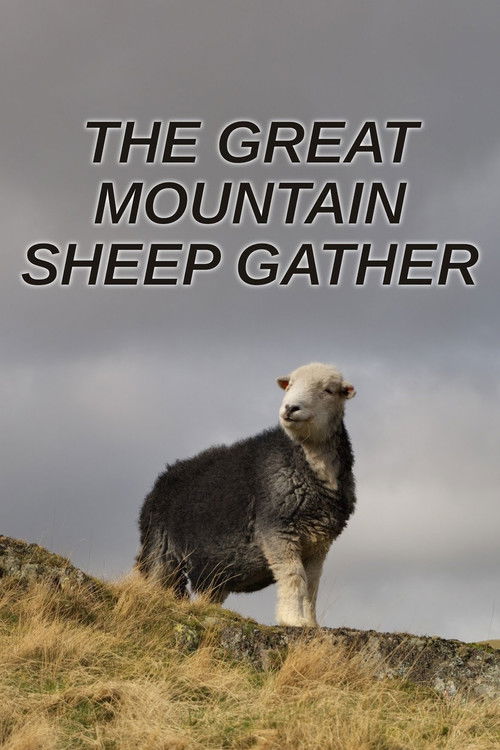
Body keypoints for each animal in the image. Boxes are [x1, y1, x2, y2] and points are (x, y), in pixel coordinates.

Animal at [136, 362, 356, 627]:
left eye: (328, 390)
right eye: (290, 385)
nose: (290, 408)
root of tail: (163, 477)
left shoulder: (319, 543)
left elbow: (311, 584)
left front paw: (311, 624)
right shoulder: (276, 529)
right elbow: (293, 576)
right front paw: (292, 620)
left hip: (213, 570)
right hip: (160, 548)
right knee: (155, 580)